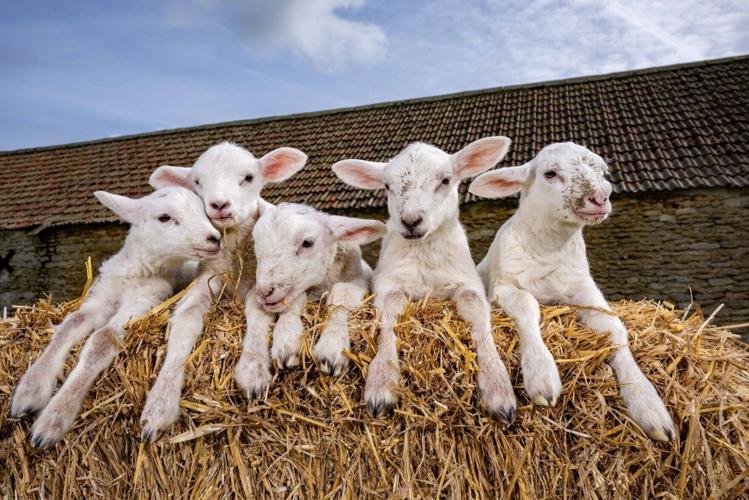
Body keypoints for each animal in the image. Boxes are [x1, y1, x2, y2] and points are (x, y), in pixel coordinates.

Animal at [10, 187, 221, 448]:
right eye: (164, 217)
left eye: (204, 211)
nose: (214, 238)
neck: (137, 270)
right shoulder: (101, 296)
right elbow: (72, 323)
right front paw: (30, 388)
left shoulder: (144, 299)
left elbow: (103, 338)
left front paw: (55, 417)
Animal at [140, 142, 307, 440]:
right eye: (197, 182)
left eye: (249, 177)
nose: (219, 205)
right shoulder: (209, 277)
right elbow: (185, 318)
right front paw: (160, 404)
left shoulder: (259, 282)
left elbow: (257, 308)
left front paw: (253, 370)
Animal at [234, 202, 387, 397]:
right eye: (255, 241)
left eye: (307, 243)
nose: (265, 291)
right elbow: (257, 310)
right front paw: (253, 368)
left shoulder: (359, 282)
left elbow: (341, 293)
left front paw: (331, 346)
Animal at [332, 137, 517, 421]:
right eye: (387, 186)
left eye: (445, 180)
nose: (410, 221)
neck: (424, 255)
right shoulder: (387, 283)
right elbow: (392, 308)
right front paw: (382, 380)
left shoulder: (468, 281)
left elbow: (474, 304)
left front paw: (498, 386)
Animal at [468, 141, 675, 441]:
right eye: (550, 173)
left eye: (603, 172)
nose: (599, 198)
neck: (549, 250)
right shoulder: (503, 285)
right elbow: (527, 306)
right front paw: (542, 374)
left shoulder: (583, 287)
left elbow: (614, 328)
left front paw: (648, 402)